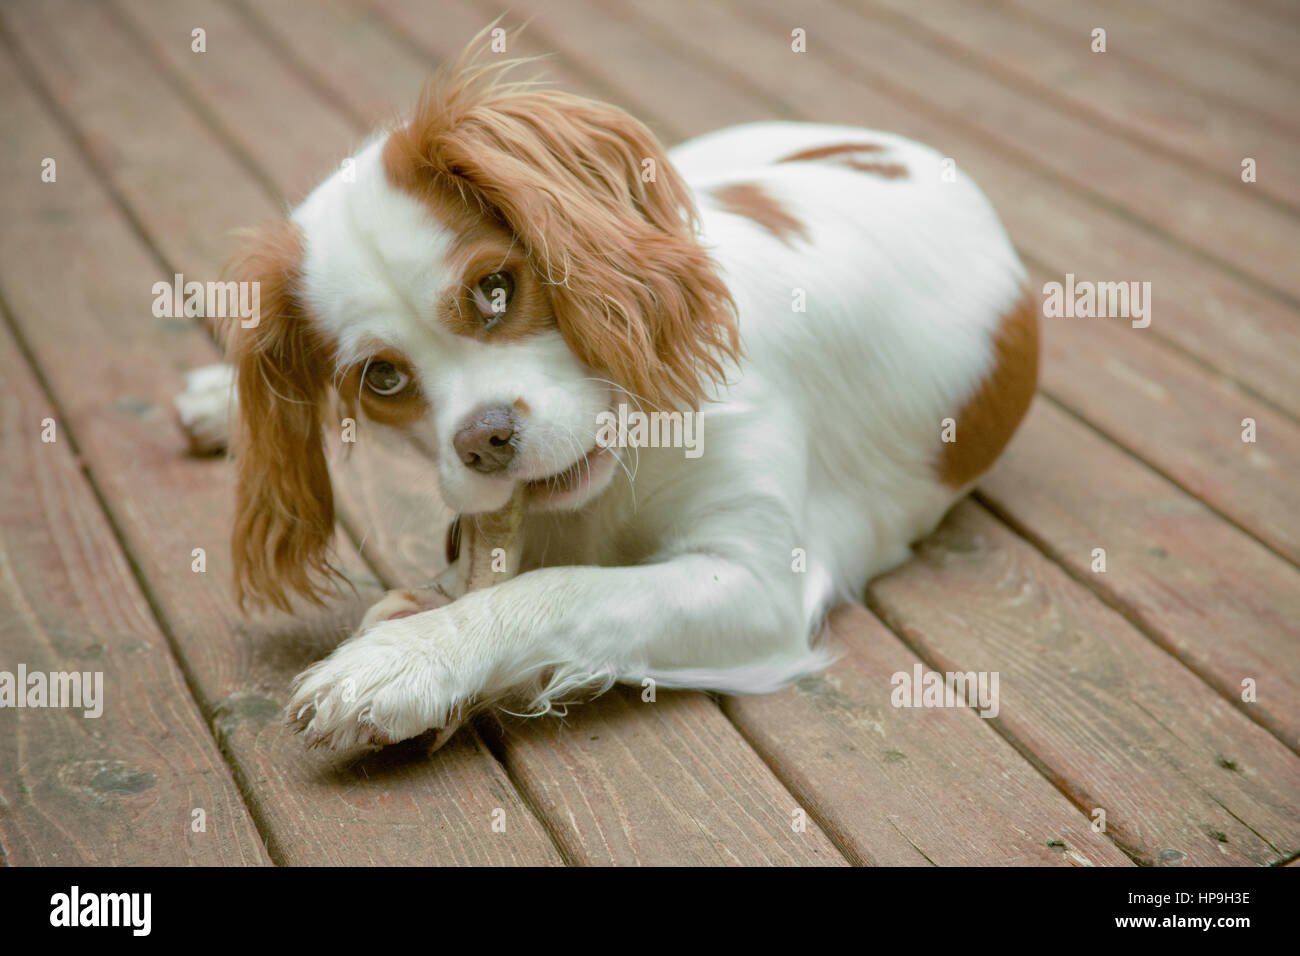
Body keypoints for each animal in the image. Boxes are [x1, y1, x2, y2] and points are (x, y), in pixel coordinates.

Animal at [180, 54, 1034, 754]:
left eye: (495, 289)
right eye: (383, 379)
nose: (484, 441)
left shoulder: (758, 582)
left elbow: (561, 589)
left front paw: (407, 660)